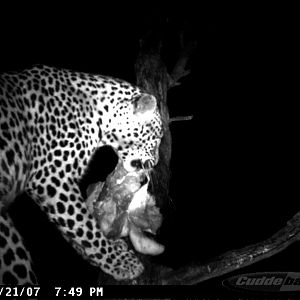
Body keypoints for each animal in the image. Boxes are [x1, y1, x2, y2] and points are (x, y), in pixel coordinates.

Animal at [0, 64, 163, 284]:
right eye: (157, 137)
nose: (156, 162)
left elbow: (75, 228)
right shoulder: (53, 178)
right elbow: (84, 226)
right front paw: (121, 262)